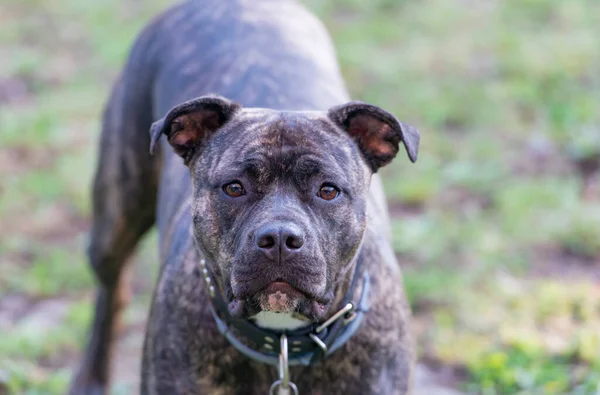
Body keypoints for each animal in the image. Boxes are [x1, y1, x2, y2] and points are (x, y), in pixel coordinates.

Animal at [68, 0, 420, 395]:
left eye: (328, 190)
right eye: (234, 187)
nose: (280, 238)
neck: (282, 342)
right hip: (116, 215)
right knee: (111, 287)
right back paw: (91, 378)